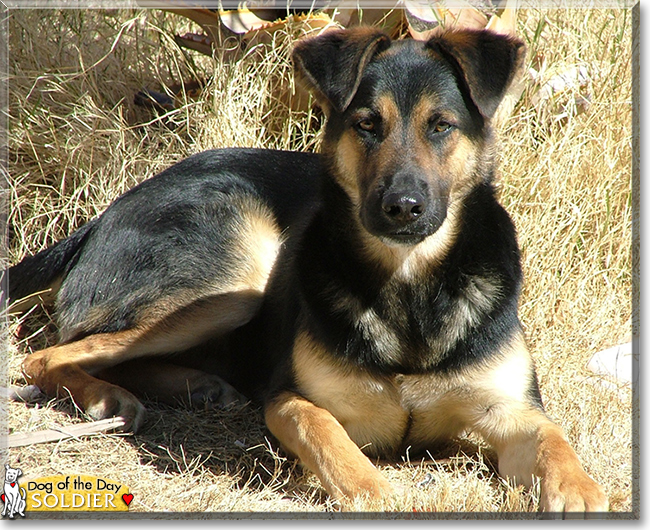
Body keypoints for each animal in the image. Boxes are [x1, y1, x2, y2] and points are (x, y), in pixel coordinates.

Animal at [5, 27, 604, 512]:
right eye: (367, 124)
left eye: (441, 126)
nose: (402, 207)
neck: (410, 286)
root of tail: (104, 215)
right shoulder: (293, 400)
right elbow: (328, 436)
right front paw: (374, 491)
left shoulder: (513, 410)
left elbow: (555, 440)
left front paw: (580, 491)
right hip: (238, 282)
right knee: (50, 354)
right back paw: (107, 397)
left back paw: (197, 384)